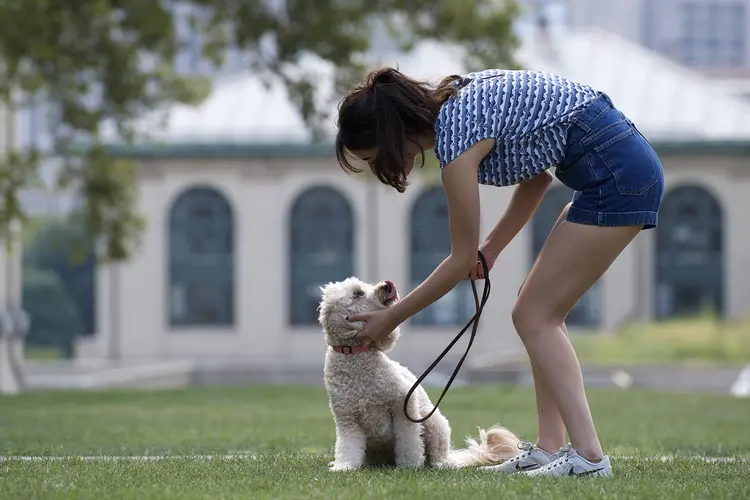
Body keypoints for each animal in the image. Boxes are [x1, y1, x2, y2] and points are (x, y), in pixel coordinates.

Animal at [318, 276, 524, 470]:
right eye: (358, 293)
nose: (386, 285)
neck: (355, 358)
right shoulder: (347, 421)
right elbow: (348, 447)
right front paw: (344, 466)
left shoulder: (403, 408)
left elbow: (409, 442)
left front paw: (409, 465)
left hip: (433, 422)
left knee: (437, 454)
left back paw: (441, 464)